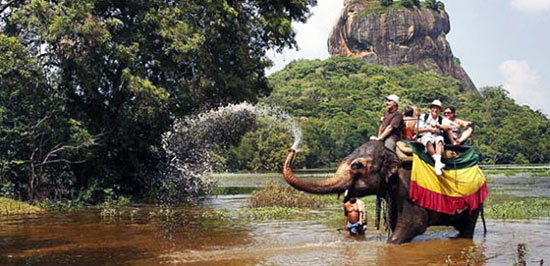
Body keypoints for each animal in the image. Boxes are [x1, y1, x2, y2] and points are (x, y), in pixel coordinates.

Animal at [284, 140, 484, 244]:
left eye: (356, 165)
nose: (292, 148)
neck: (391, 152)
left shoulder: (407, 188)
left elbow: (415, 223)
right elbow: (396, 222)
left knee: (467, 229)